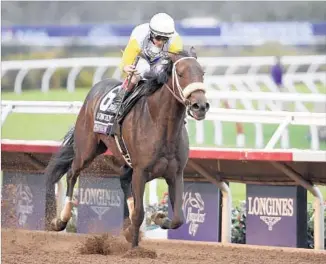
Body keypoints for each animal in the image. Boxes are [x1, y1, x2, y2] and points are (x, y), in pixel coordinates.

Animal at [45, 48, 209, 248]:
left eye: (202, 73)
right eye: (180, 73)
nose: (200, 106)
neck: (162, 126)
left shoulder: (175, 174)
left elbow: (178, 218)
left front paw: (159, 218)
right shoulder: (141, 171)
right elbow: (139, 214)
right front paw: (134, 248)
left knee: (123, 180)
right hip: (87, 150)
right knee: (72, 173)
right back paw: (60, 220)